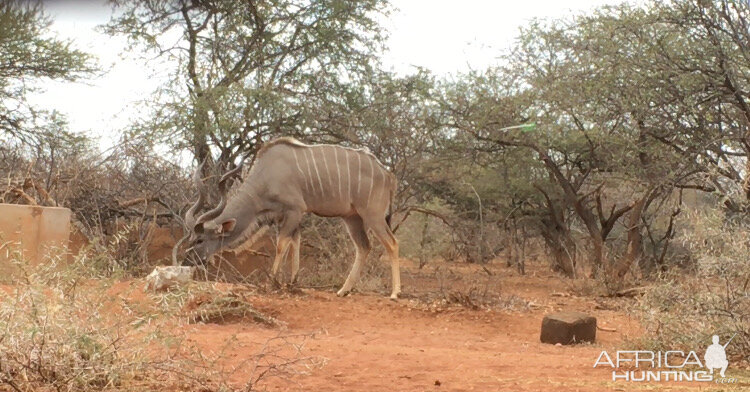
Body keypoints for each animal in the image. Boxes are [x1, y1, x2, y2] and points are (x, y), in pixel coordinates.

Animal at [176, 138, 402, 298]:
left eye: (200, 240)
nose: (187, 261)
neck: (266, 175)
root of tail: (389, 175)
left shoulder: (294, 210)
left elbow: (281, 245)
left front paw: (272, 282)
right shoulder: (285, 216)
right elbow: (295, 243)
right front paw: (293, 282)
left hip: (373, 215)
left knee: (392, 243)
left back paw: (394, 293)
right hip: (352, 218)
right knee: (364, 247)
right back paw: (343, 290)